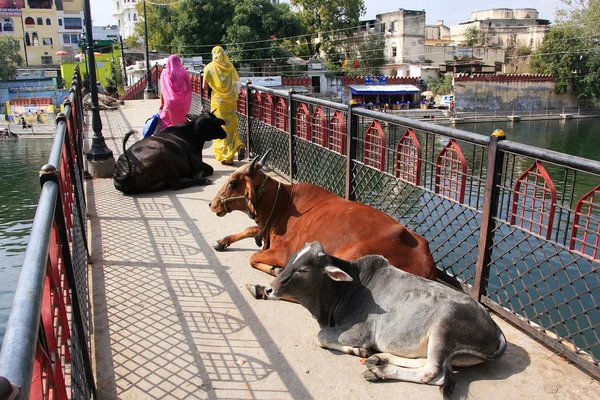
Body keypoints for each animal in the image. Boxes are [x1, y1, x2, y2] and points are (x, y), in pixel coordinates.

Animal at [209, 150, 438, 296]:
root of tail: (428, 262)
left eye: (233, 183)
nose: (212, 203)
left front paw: (275, 270)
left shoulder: (282, 252)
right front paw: (222, 241)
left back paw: (260, 289)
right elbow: (250, 228)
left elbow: (253, 257)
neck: (281, 205)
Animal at [264, 242, 504, 396]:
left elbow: (322, 336)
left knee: (433, 372)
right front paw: (362, 353)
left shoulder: (361, 332)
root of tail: (496, 329)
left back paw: (380, 371)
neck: (349, 288)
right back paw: (381, 358)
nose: (268, 289)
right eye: (291, 259)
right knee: (425, 362)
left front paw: (358, 350)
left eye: (303, 269)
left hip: (444, 328)